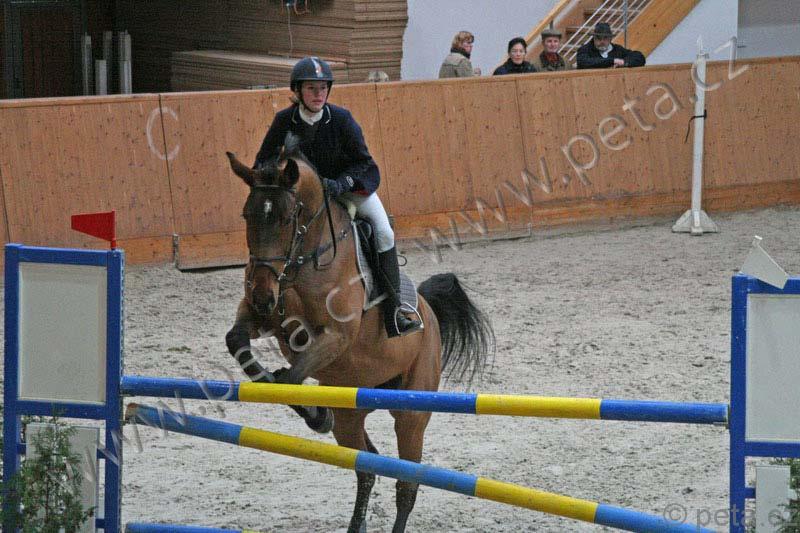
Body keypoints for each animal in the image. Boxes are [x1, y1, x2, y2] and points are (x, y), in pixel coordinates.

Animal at [224, 136, 494, 533]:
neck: (301, 264)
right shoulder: (261, 318)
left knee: (406, 482)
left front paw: (316, 415)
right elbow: (239, 344)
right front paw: (291, 396)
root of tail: (428, 311)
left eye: (287, 219)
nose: (262, 294)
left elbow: (290, 377)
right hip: (353, 410)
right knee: (368, 465)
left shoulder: (335, 336)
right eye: (247, 215)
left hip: (412, 413)